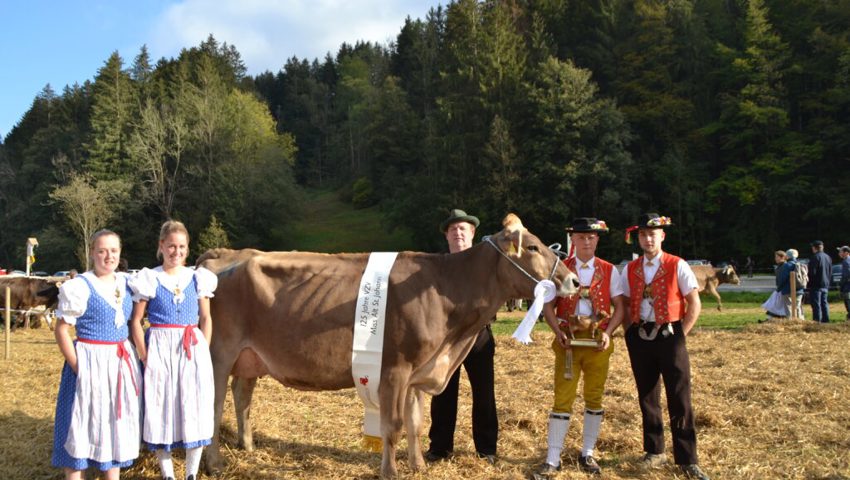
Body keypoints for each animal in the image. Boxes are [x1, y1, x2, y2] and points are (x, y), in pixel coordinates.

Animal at [195, 216, 572, 478]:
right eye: (533, 248)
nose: (571, 279)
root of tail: (222, 254)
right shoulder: (395, 367)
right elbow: (393, 425)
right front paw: (390, 472)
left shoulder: (420, 370)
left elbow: (416, 422)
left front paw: (419, 466)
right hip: (218, 354)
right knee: (213, 405)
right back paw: (214, 465)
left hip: (249, 357)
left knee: (241, 396)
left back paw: (246, 446)